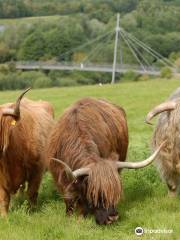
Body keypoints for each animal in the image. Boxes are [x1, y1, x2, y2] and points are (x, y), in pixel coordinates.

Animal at [46, 96, 163, 224]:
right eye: (94, 193)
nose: (113, 217)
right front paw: (72, 215)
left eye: (115, 191)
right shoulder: (60, 177)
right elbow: (68, 198)